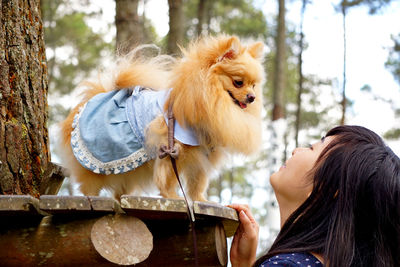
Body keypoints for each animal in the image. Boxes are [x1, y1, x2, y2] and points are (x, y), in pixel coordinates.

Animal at [59, 36, 264, 203]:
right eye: (238, 82)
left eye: (253, 85)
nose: (252, 97)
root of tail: (89, 100)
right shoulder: (172, 149)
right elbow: (169, 178)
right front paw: (173, 197)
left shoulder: (201, 154)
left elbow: (198, 182)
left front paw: (201, 201)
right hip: (96, 162)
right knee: (89, 187)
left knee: (120, 191)